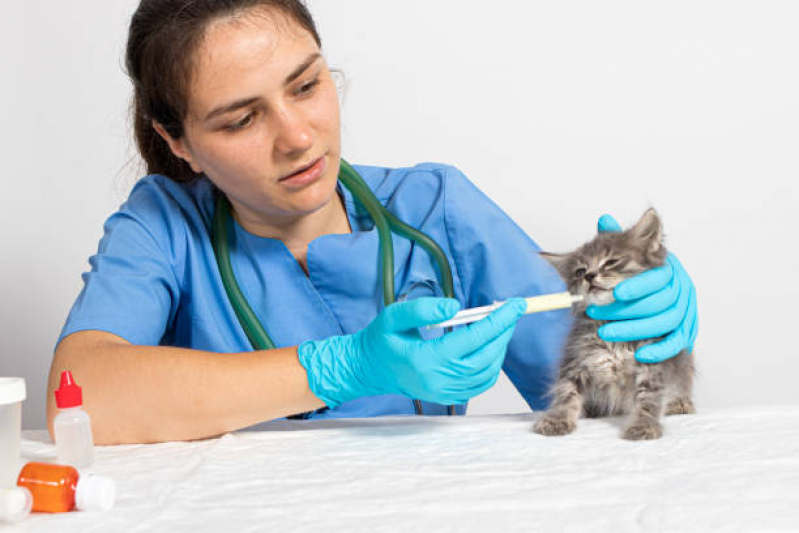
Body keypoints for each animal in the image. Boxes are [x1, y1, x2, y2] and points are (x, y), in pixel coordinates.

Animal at [536, 209, 696, 440]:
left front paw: (644, 424)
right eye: (579, 271)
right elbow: (566, 390)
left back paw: (680, 404)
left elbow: (650, 397)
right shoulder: (575, 359)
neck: (612, 323)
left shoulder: (653, 363)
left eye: (611, 262)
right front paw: (557, 419)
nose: (589, 275)